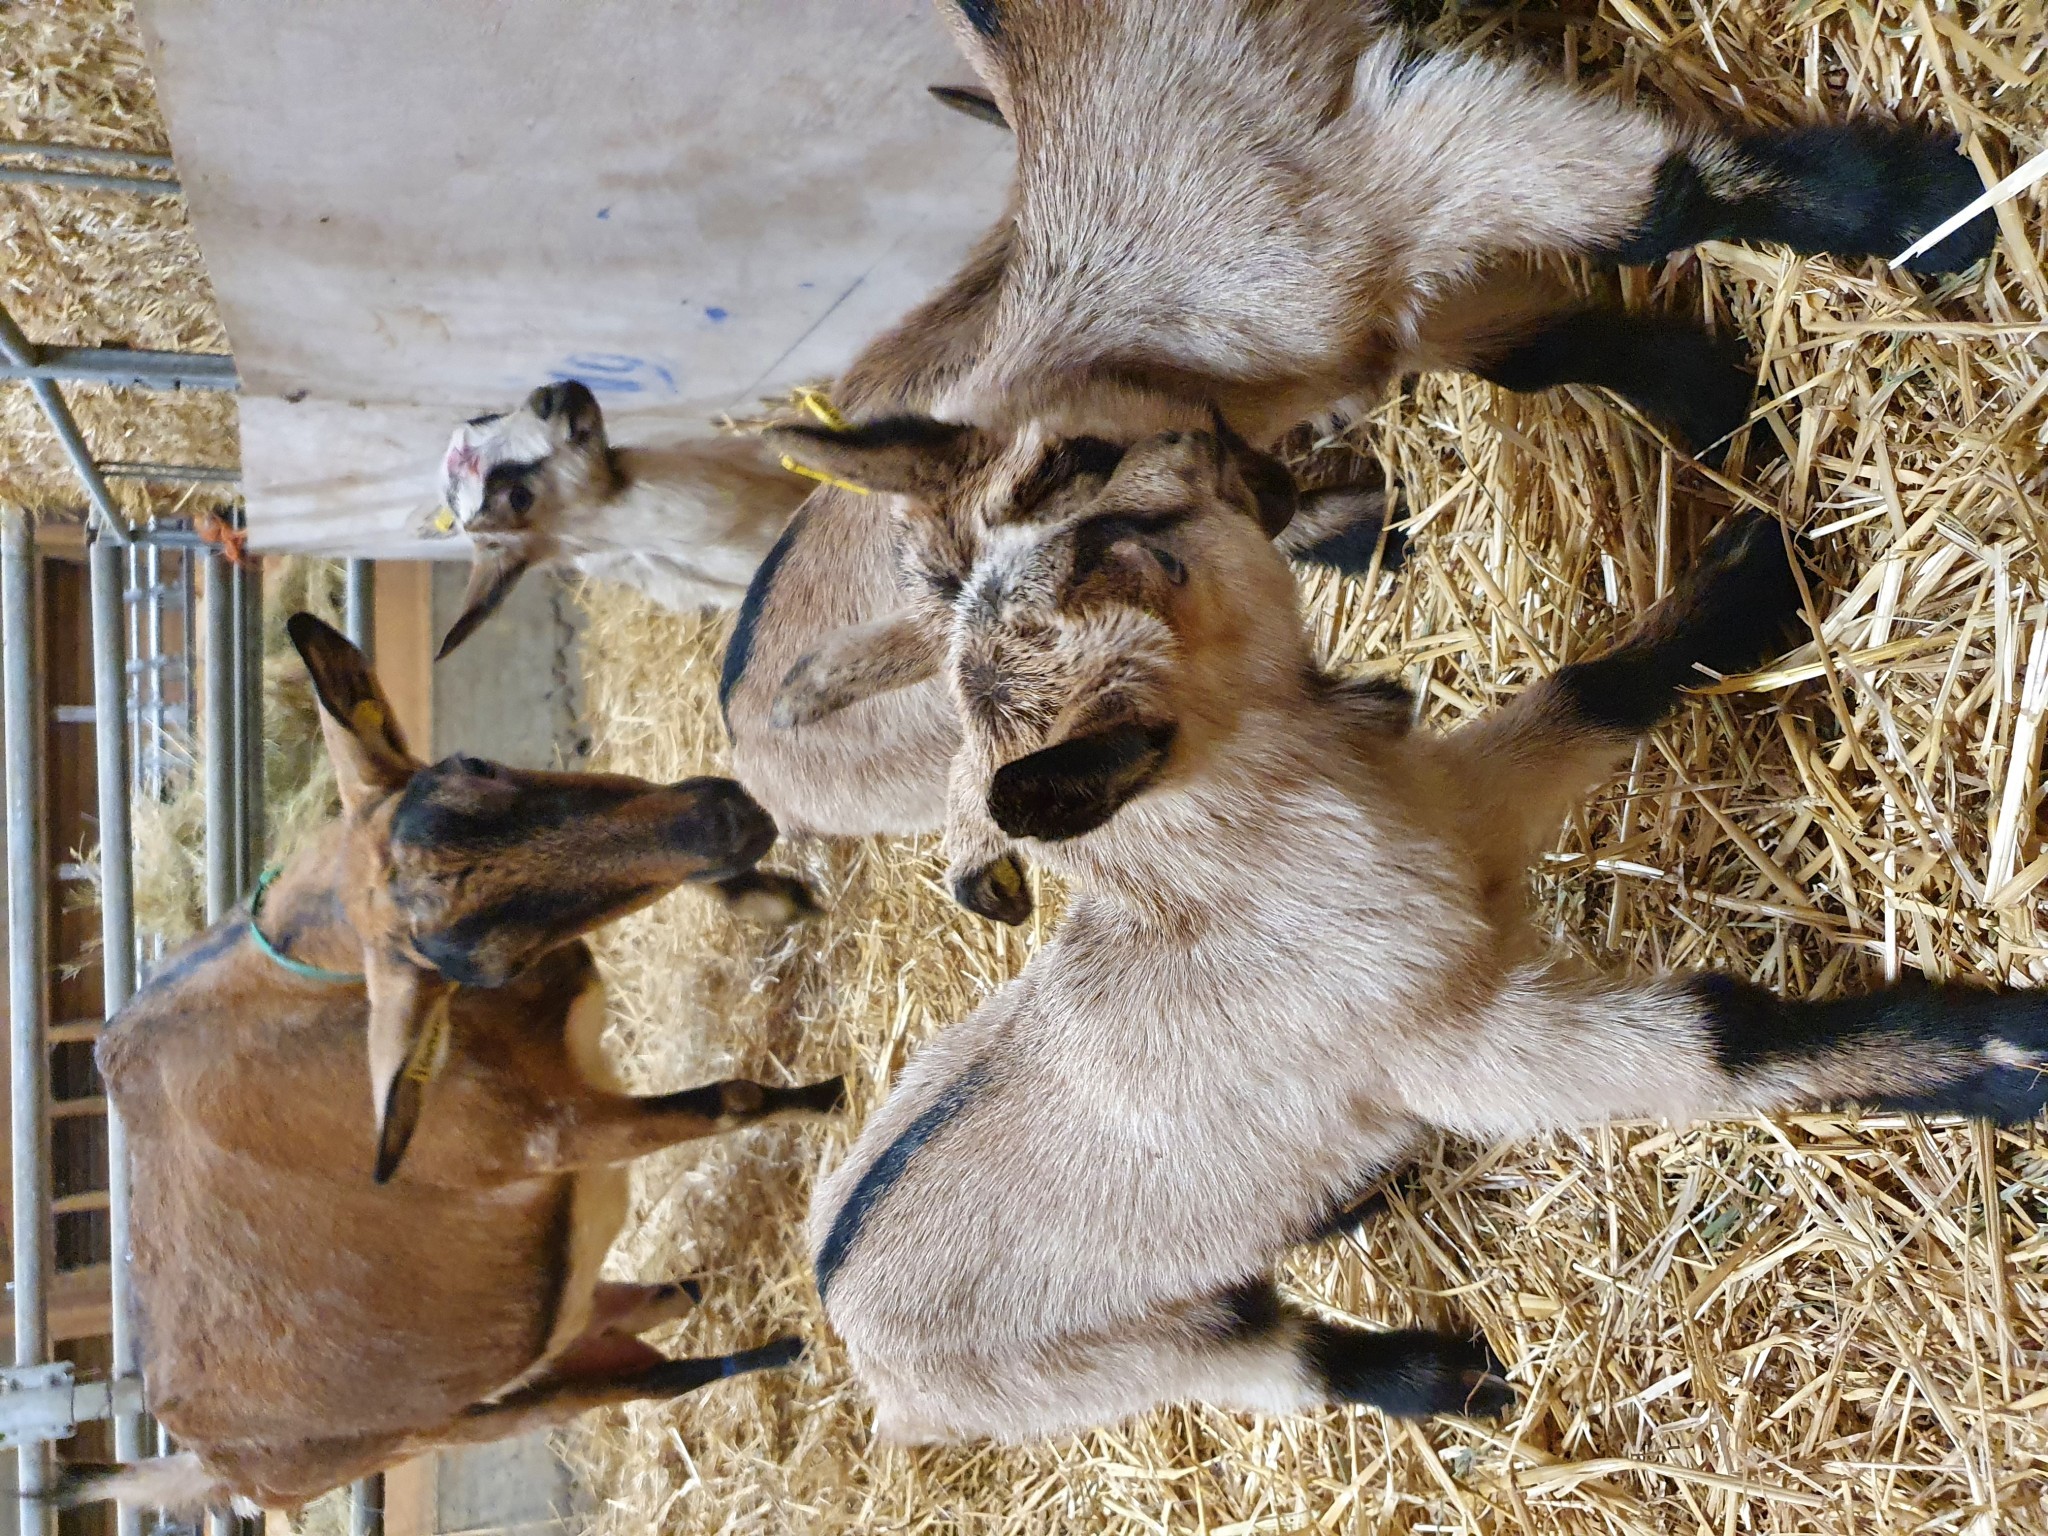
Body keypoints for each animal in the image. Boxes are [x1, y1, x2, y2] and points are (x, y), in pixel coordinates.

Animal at [58, 618, 839, 1515]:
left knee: (654, 1302)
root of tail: (205, 1457)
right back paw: (787, 1349)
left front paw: (776, 897)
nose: (728, 821)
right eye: (487, 959)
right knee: (657, 1379)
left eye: (476, 764)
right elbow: (729, 1101)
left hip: (566, 1325)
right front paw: (833, 1096)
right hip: (481, 1414)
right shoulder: (557, 1131)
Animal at [806, 428, 2039, 1449]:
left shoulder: (1458, 812)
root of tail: (837, 1304)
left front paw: (1749, 576)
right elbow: (1720, 1039)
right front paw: (1989, 1054)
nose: (1204, 442)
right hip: (1103, 1362)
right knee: (1278, 1366)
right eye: (1143, 552)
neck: (1236, 870)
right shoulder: (1459, 1043)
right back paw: (1450, 1380)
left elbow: (1589, 691)